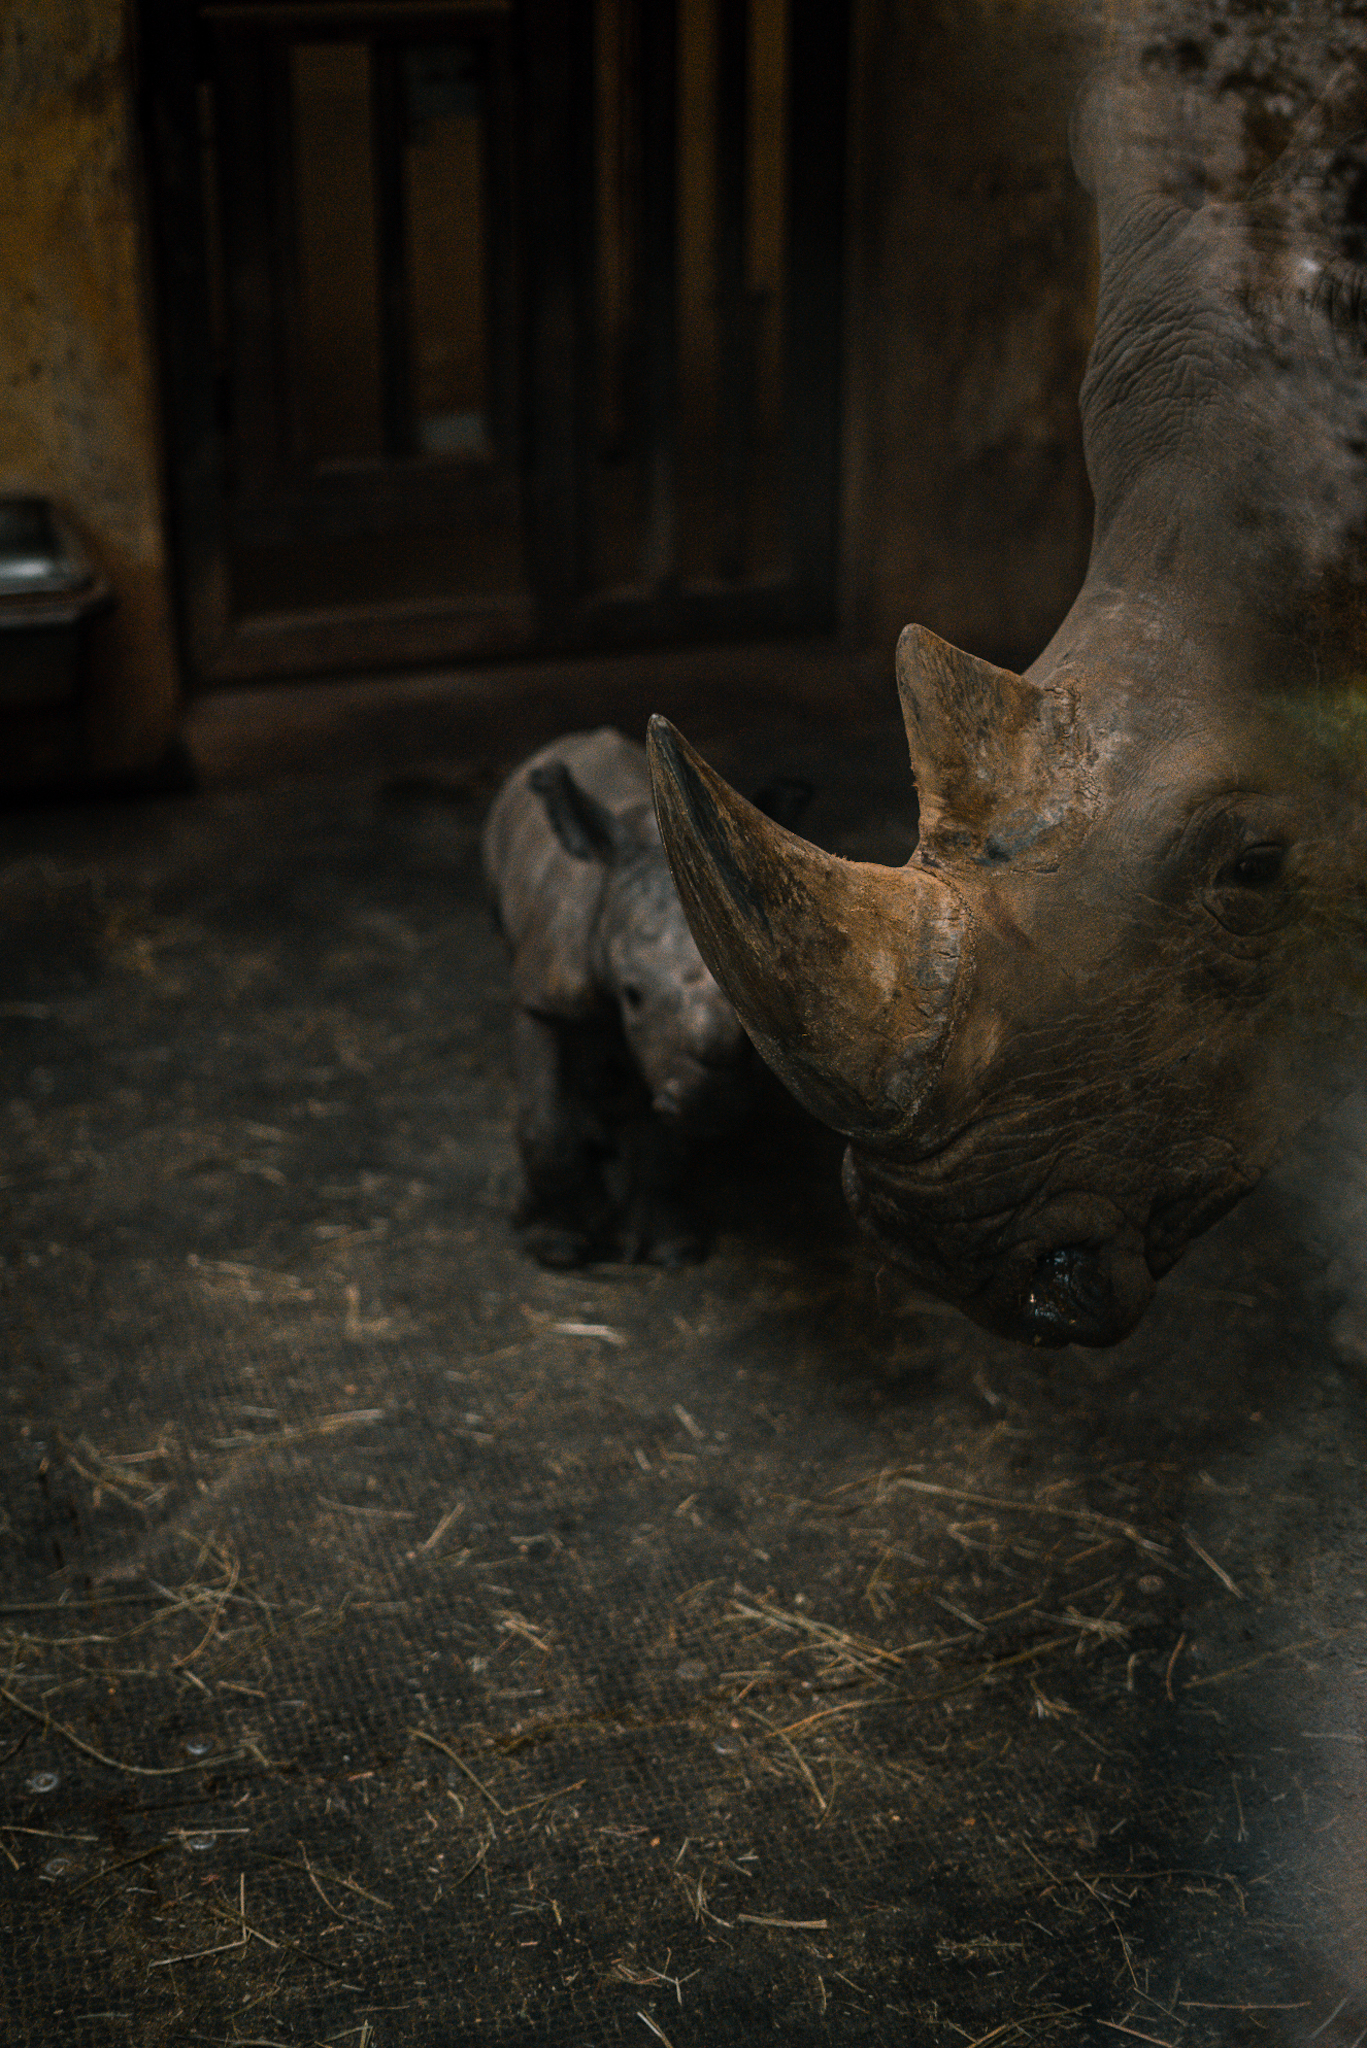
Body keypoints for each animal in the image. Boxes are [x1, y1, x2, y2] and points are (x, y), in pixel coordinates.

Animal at [483, 728, 809, 1268]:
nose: (714, 1107)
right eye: (632, 994)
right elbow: (544, 1121)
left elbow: (661, 1142)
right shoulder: (541, 999)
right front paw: (557, 1246)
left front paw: (670, 1250)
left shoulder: (664, 1051)